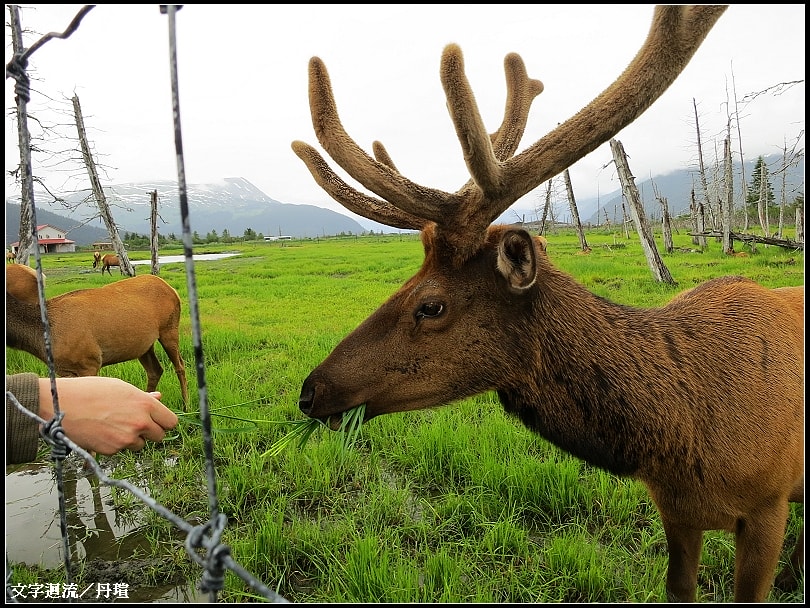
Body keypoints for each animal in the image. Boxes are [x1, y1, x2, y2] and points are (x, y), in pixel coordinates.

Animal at [6, 273, 189, 406]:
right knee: (155, 370)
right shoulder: (66, 371)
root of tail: (172, 289)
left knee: (180, 365)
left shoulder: (89, 362)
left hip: (169, 328)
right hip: (144, 345)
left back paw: (186, 405)